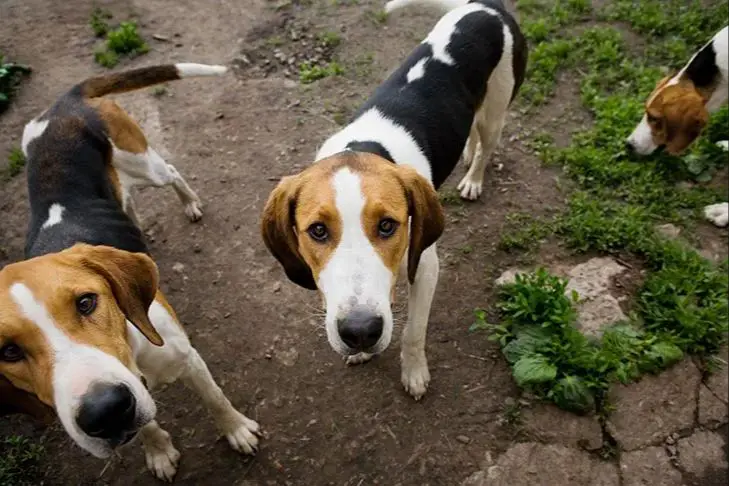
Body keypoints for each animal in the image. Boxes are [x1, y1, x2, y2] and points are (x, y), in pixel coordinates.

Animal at [0, 64, 260, 482]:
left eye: (86, 302)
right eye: (8, 351)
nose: (103, 411)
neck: (131, 343)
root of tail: (63, 103)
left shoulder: (189, 360)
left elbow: (216, 400)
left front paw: (237, 431)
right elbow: (147, 426)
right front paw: (159, 452)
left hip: (144, 163)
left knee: (171, 172)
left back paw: (189, 203)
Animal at [260, 0, 524, 398]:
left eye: (388, 225)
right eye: (317, 230)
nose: (360, 332)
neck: (363, 147)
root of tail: (488, 7)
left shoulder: (426, 267)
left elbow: (413, 332)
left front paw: (414, 373)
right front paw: (362, 351)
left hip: (497, 107)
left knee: (487, 143)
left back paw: (474, 178)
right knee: (473, 134)